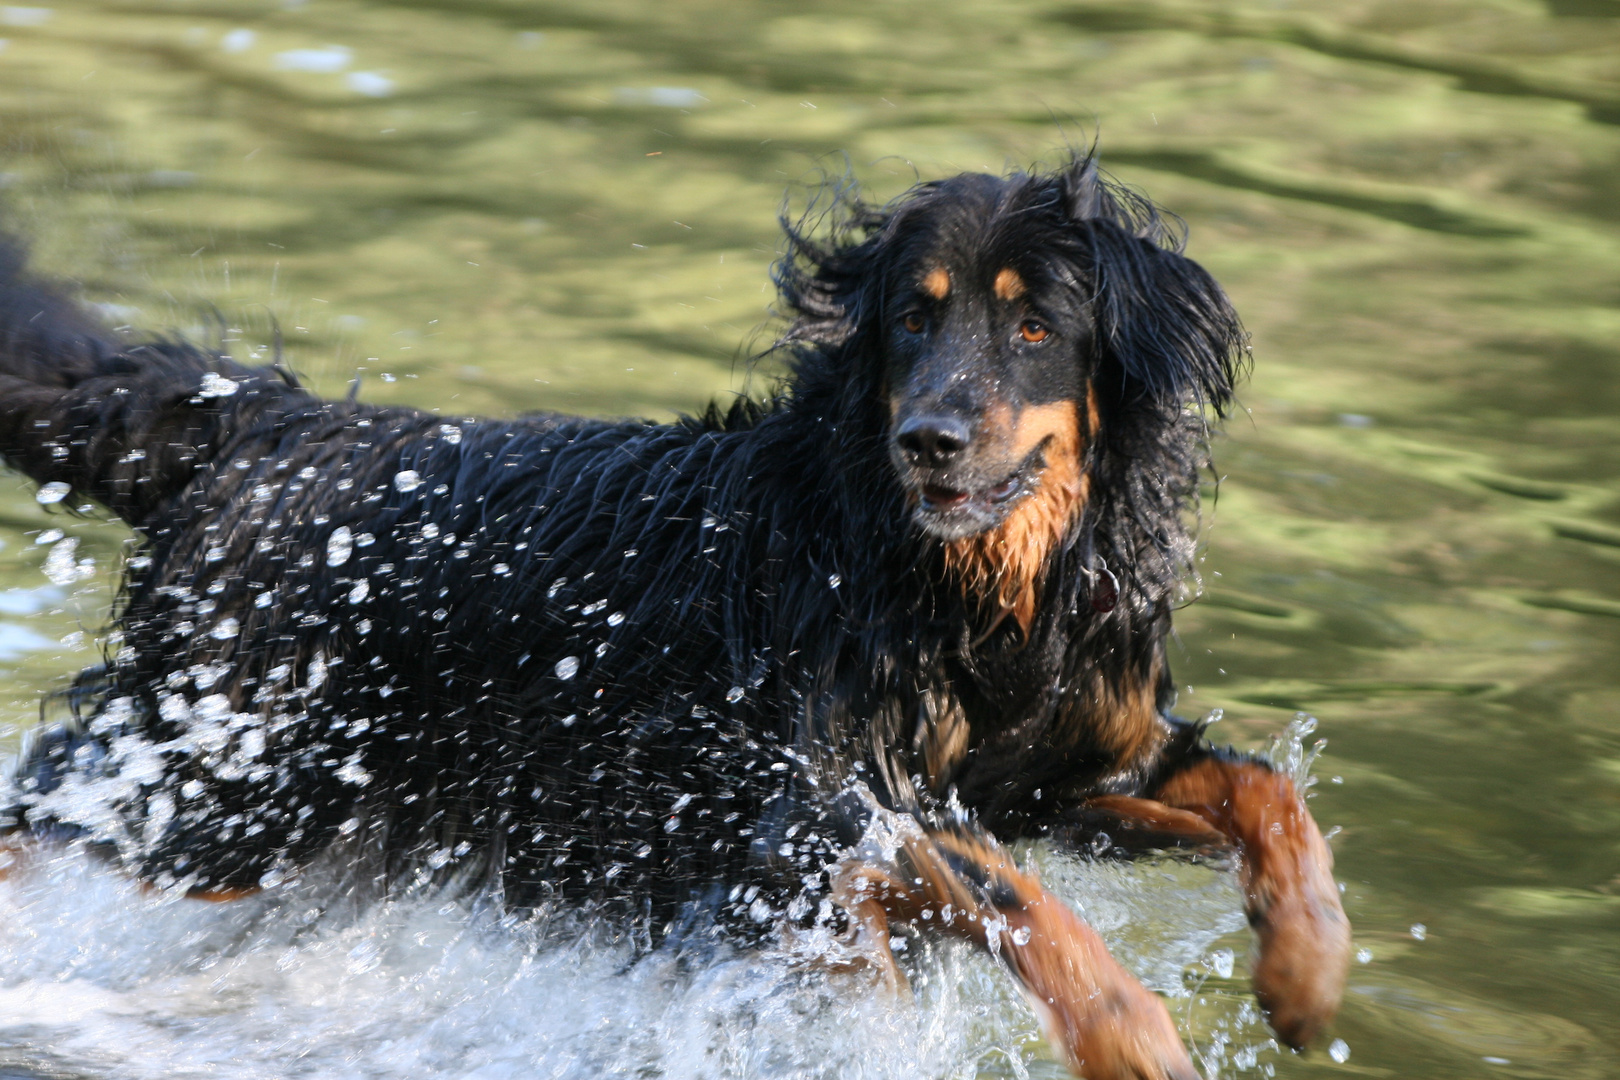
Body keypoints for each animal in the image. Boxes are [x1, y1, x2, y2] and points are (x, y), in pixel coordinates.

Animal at [3, 160, 1354, 1080]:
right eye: (912, 317)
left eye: (1036, 326)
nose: (928, 438)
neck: (970, 594)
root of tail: (255, 420)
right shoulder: (815, 797)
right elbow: (1016, 898)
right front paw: (1138, 1041)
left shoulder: (1064, 774)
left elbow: (1261, 797)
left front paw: (1305, 969)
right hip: (212, 792)